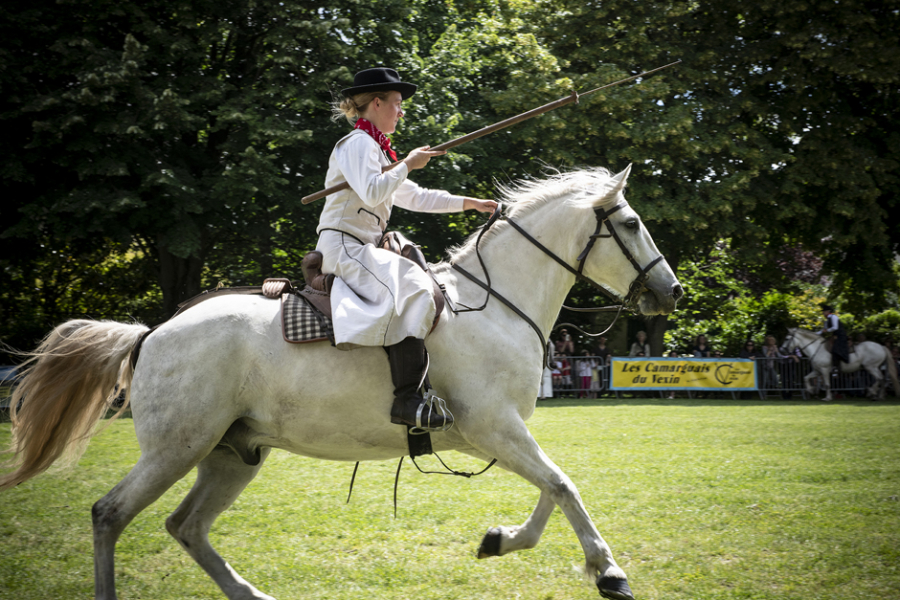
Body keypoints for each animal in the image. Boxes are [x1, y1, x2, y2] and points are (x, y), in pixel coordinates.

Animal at [1, 165, 684, 600]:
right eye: (628, 223)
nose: (671, 291)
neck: (492, 303)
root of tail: (151, 334)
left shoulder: (494, 434)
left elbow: (553, 487)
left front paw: (501, 540)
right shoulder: (496, 427)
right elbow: (564, 485)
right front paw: (608, 571)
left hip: (232, 453)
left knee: (185, 526)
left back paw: (252, 595)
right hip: (177, 447)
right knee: (110, 514)